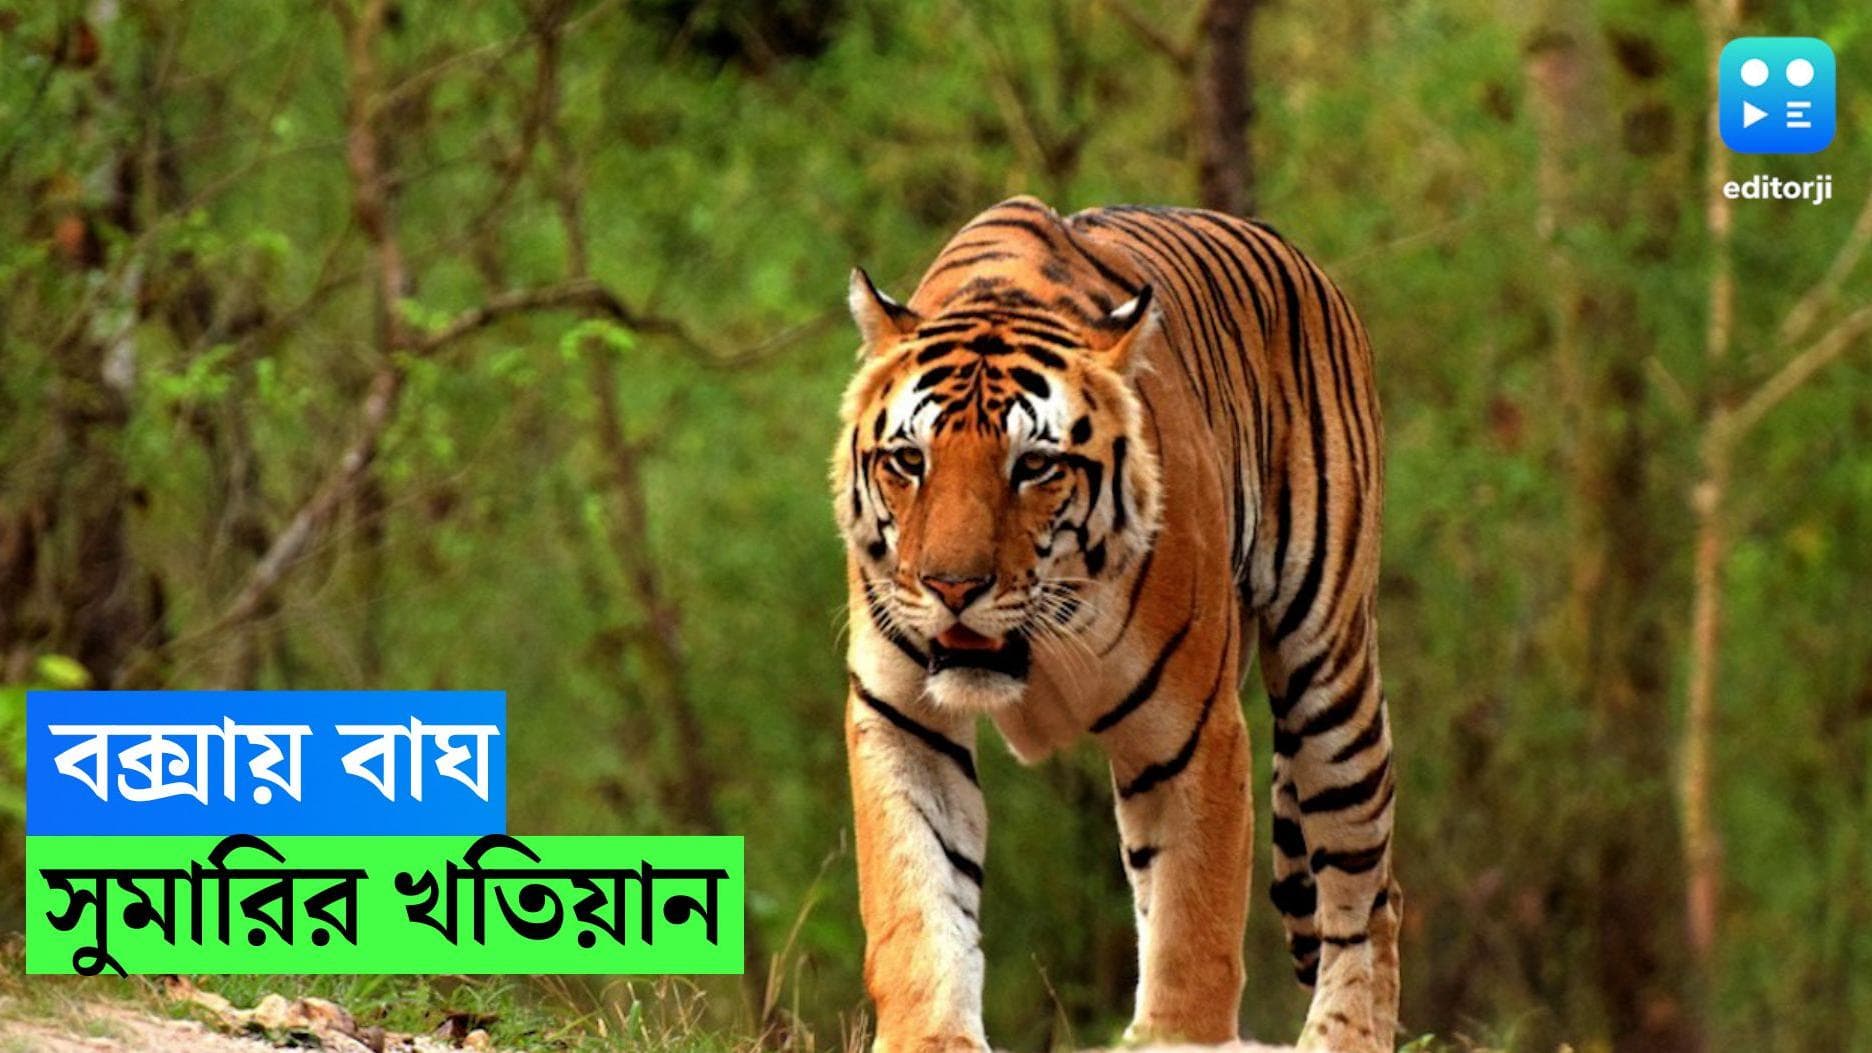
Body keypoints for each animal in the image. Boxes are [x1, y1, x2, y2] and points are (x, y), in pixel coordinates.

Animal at [832, 196, 1400, 1053]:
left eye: (1034, 465)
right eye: (909, 460)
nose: (952, 586)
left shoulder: (1192, 732)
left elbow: (1193, 926)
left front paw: (1176, 1037)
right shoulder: (902, 717)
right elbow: (919, 904)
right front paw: (929, 1036)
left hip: (1329, 678)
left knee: (1368, 894)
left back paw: (1345, 1037)